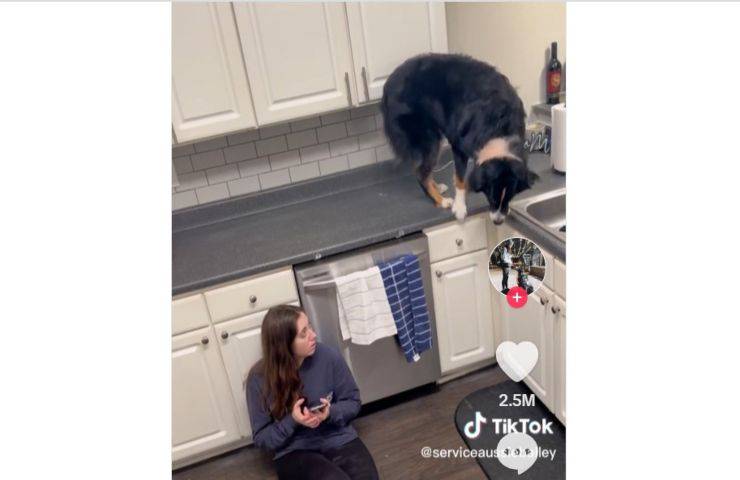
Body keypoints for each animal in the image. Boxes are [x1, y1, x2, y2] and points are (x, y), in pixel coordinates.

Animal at [380, 53, 538, 224]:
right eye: (491, 196)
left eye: (511, 196)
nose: (498, 221)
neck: (500, 128)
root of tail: (388, 82)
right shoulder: (458, 146)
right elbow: (460, 178)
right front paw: (460, 208)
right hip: (430, 139)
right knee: (421, 172)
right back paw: (441, 200)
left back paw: (437, 187)